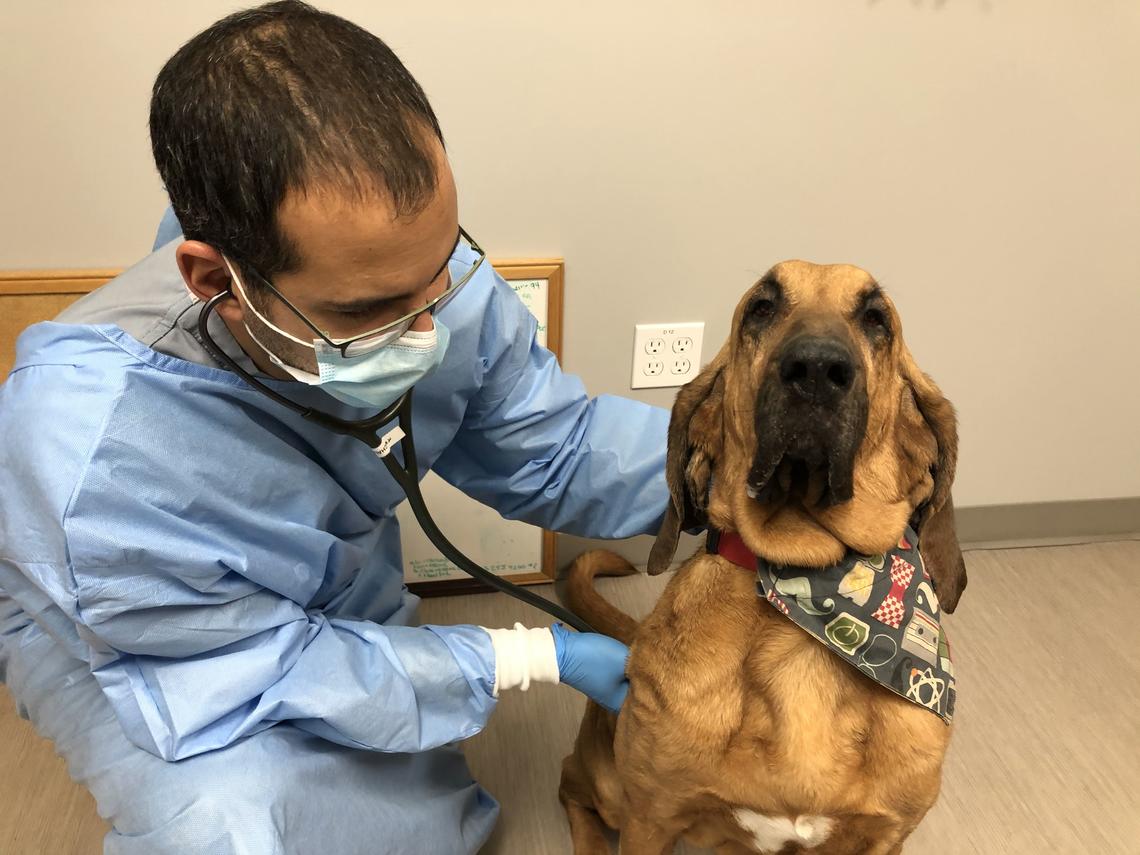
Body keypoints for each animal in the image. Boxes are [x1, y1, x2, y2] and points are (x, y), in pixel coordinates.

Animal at [556, 263, 966, 855]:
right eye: (762, 308)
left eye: (876, 318)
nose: (816, 369)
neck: (814, 584)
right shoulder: (650, 816)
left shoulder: (884, 837)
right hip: (610, 789)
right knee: (572, 786)